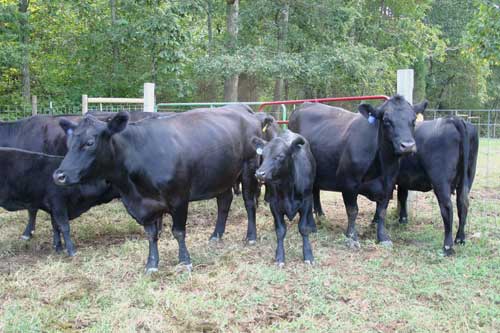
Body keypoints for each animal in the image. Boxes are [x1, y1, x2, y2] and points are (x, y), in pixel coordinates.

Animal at [52, 106, 262, 272]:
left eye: (90, 142)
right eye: (69, 144)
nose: (59, 175)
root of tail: (242, 109)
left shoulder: (179, 198)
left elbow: (178, 232)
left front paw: (184, 261)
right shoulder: (142, 206)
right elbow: (151, 235)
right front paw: (152, 264)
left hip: (249, 169)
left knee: (249, 203)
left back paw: (251, 237)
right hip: (221, 175)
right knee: (224, 202)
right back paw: (216, 235)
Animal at [254, 130, 316, 264]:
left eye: (280, 156)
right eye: (263, 156)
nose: (260, 173)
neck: (287, 186)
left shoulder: (306, 201)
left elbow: (303, 228)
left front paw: (308, 255)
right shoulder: (274, 205)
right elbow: (280, 230)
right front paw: (279, 256)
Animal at [292, 94, 428, 245]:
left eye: (413, 120)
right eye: (386, 120)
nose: (408, 146)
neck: (382, 165)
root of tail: (304, 105)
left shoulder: (389, 184)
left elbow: (382, 212)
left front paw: (383, 237)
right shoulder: (349, 183)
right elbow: (352, 211)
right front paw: (351, 237)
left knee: (314, 192)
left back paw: (320, 216)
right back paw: (311, 226)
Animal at [366, 116, 478, 254]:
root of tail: (452, 119)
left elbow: (382, 202)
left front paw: (375, 221)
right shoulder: (403, 179)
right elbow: (402, 196)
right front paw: (403, 220)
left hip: (440, 181)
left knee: (447, 208)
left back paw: (447, 246)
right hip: (468, 177)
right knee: (463, 204)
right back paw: (460, 238)